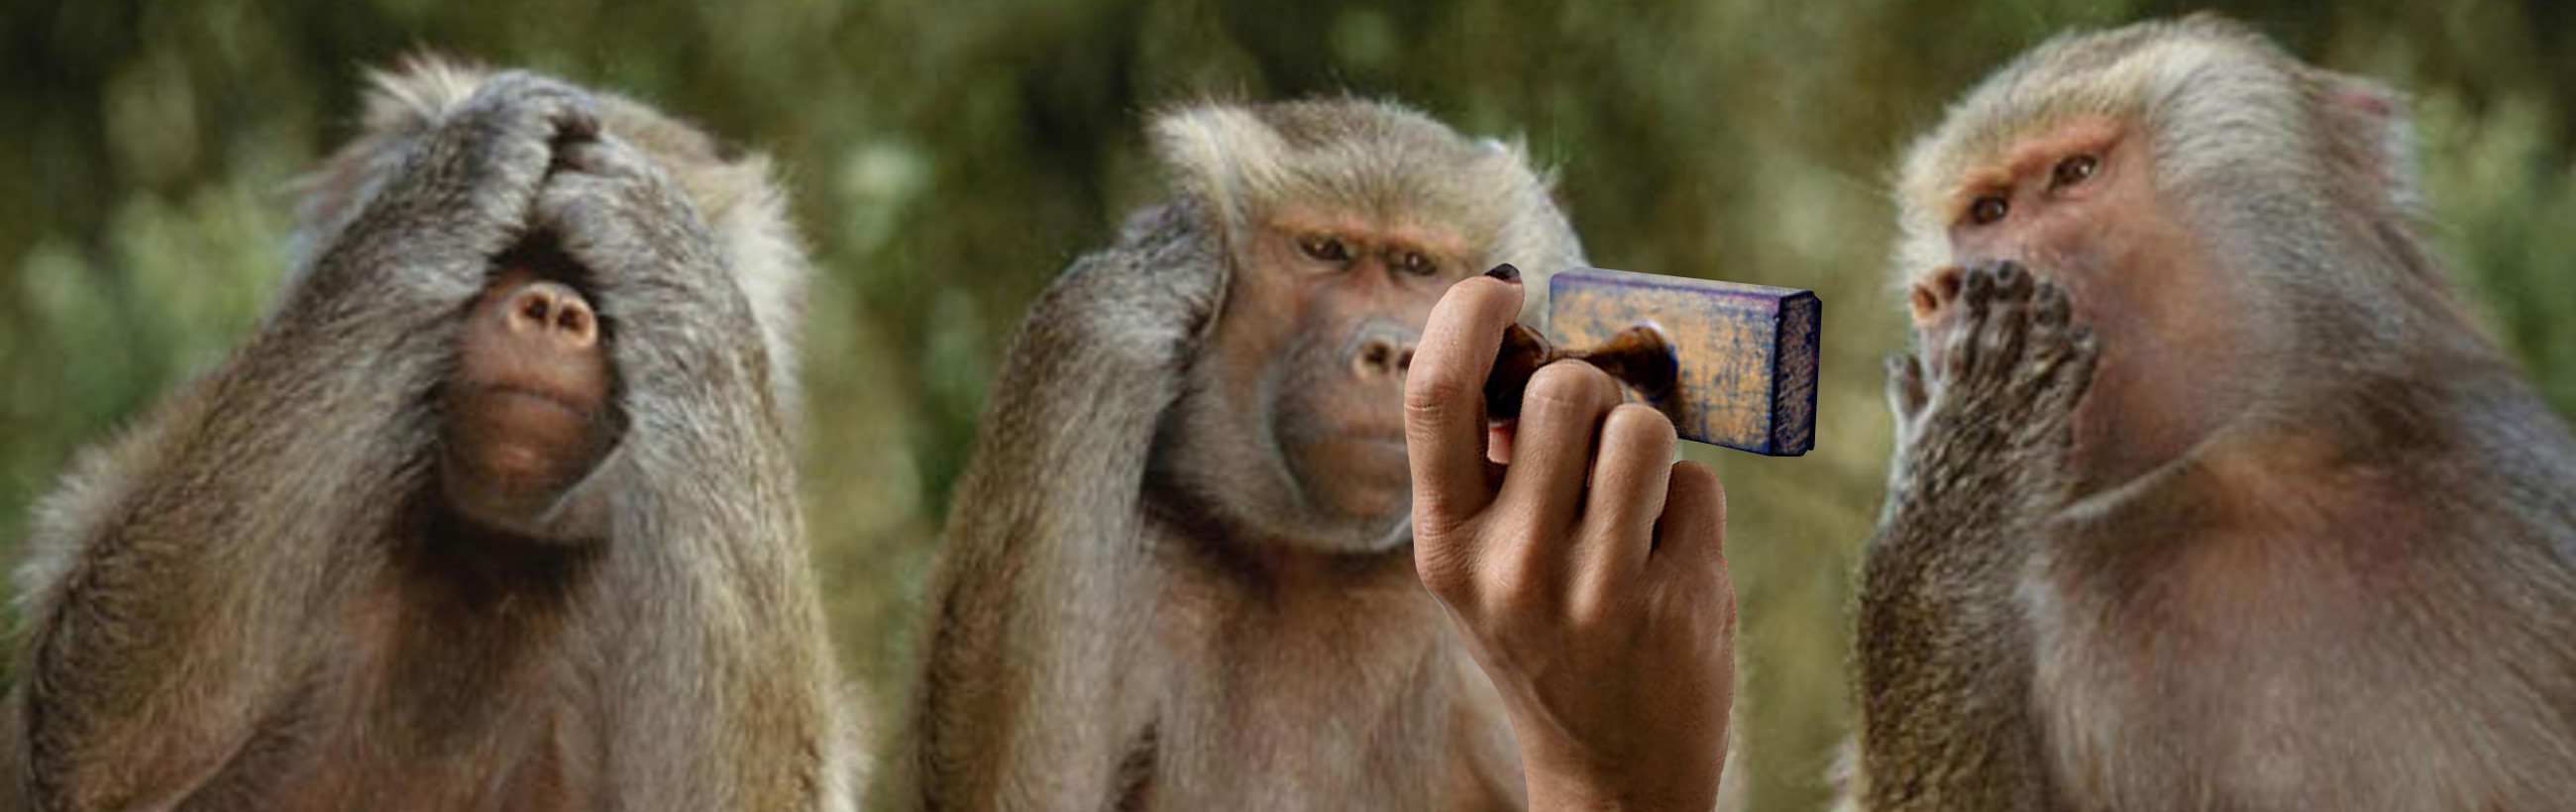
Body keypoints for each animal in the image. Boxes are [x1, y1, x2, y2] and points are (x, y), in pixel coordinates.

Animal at [3, 58, 853, 810]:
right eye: (509, 248)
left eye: (592, 276)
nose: (553, 308)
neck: (488, 550)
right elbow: (85, 743)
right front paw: (465, 168)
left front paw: (662, 243)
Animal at [885, 98, 1617, 810]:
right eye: (1325, 250)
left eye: (1416, 265)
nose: (1391, 352)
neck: (1307, 565)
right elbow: (1033, 791)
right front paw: (1151, 273)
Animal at [1846, 15, 2576, 811]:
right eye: (1988, 211)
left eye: (2075, 173)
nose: (1943, 292)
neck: (2252, 482)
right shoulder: (2044, 581)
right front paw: (1961, 465)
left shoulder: (2516, 495)